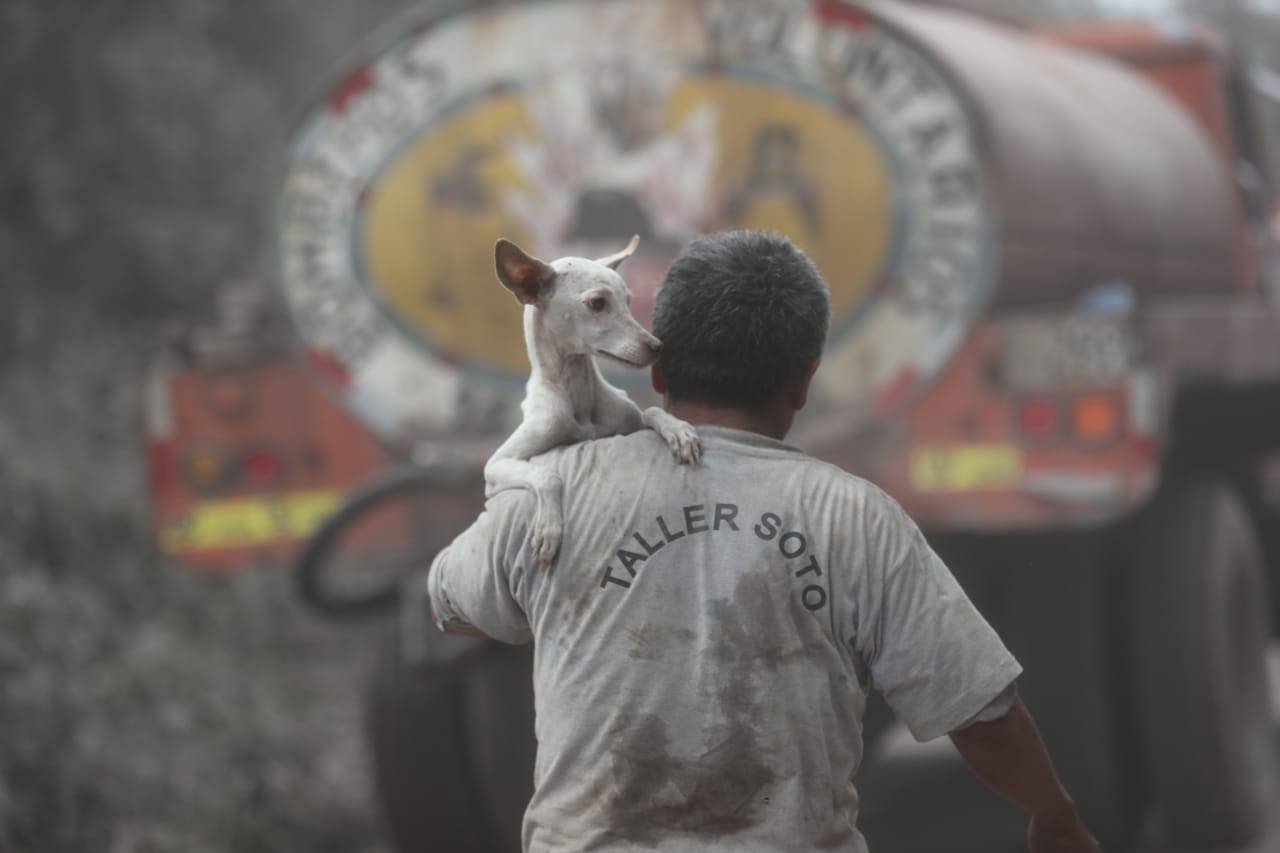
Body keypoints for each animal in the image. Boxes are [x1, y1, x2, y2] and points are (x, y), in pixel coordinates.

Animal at [483, 235, 701, 563]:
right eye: (597, 303)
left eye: (628, 301)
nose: (657, 347)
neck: (579, 396)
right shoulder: (497, 465)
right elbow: (547, 474)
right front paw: (549, 529)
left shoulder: (631, 419)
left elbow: (651, 410)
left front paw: (678, 431)